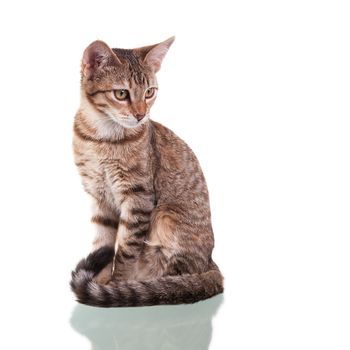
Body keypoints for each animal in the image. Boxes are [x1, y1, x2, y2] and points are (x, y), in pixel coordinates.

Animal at [71, 36, 224, 306]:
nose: (141, 115)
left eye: (149, 92)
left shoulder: (138, 197)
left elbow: (125, 252)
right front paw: (101, 280)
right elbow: (103, 245)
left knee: (177, 276)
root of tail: (210, 262)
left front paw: (116, 285)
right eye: (121, 93)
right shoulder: (99, 198)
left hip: (166, 216)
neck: (101, 139)